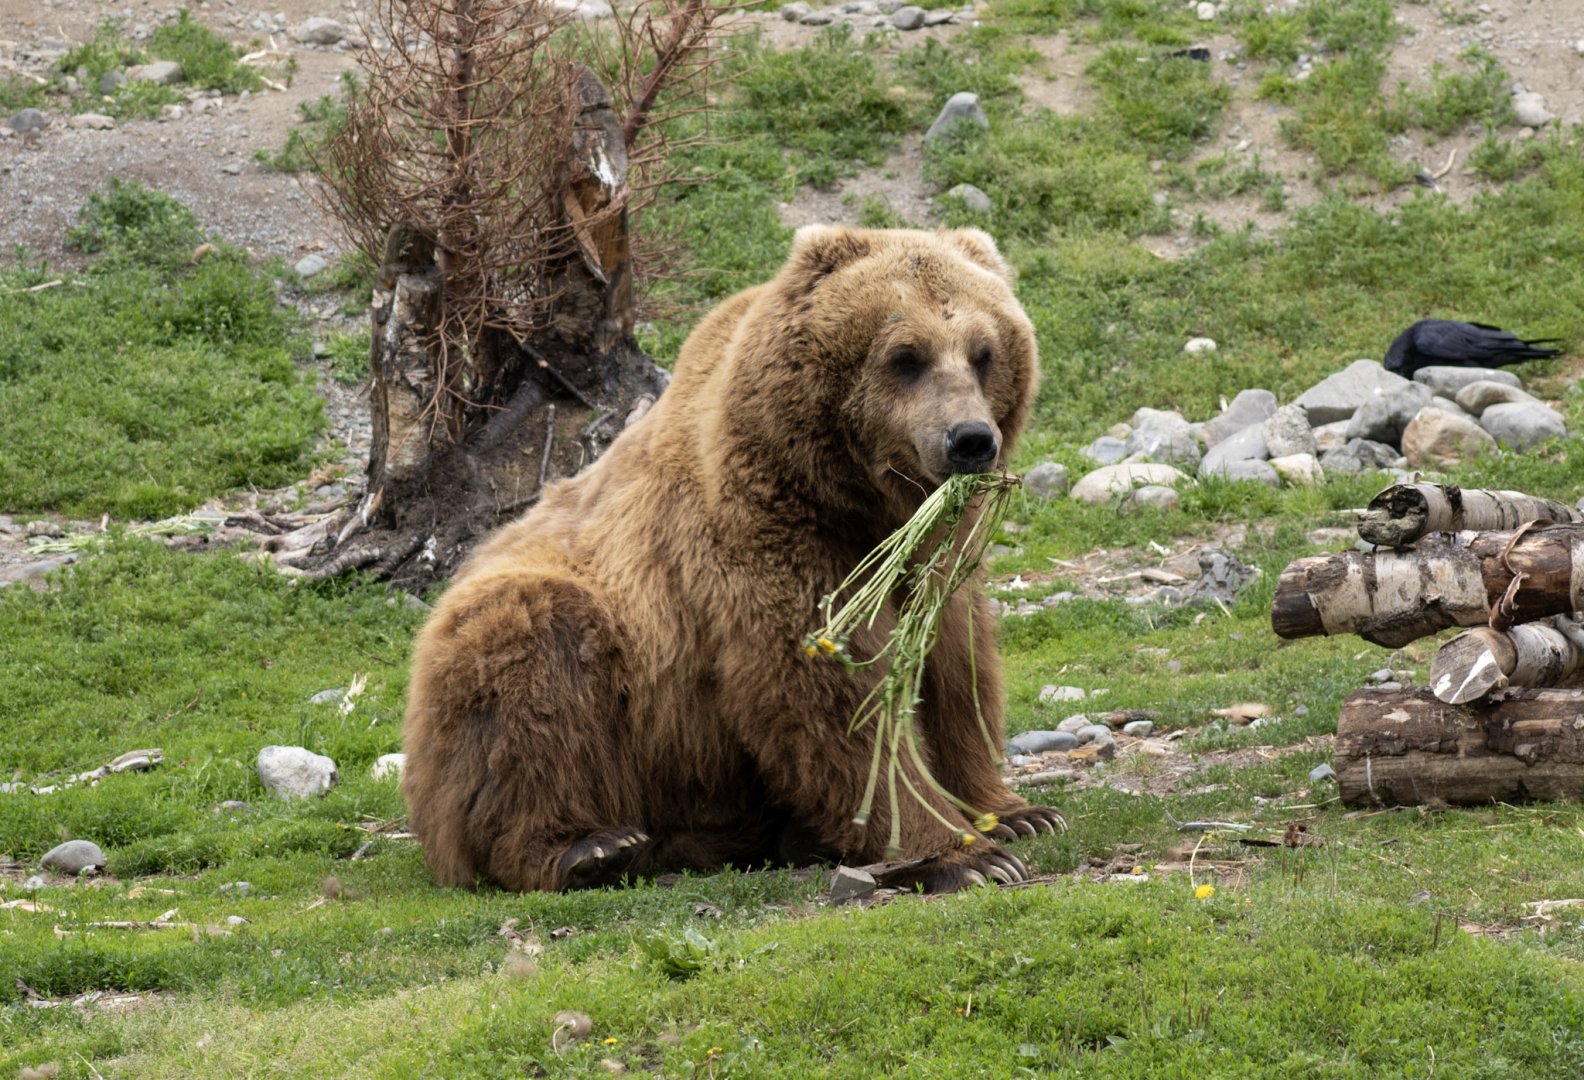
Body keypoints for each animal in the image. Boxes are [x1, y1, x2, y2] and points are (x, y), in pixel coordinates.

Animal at [401, 225, 1064, 894]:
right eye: (906, 355)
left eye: (984, 352)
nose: (971, 439)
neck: (857, 500)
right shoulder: (768, 533)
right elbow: (831, 696)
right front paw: (962, 854)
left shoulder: (934, 556)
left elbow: (954, 667)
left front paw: (1015, 814)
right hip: (556, 650)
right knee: (531, 676)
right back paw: (587, 847)